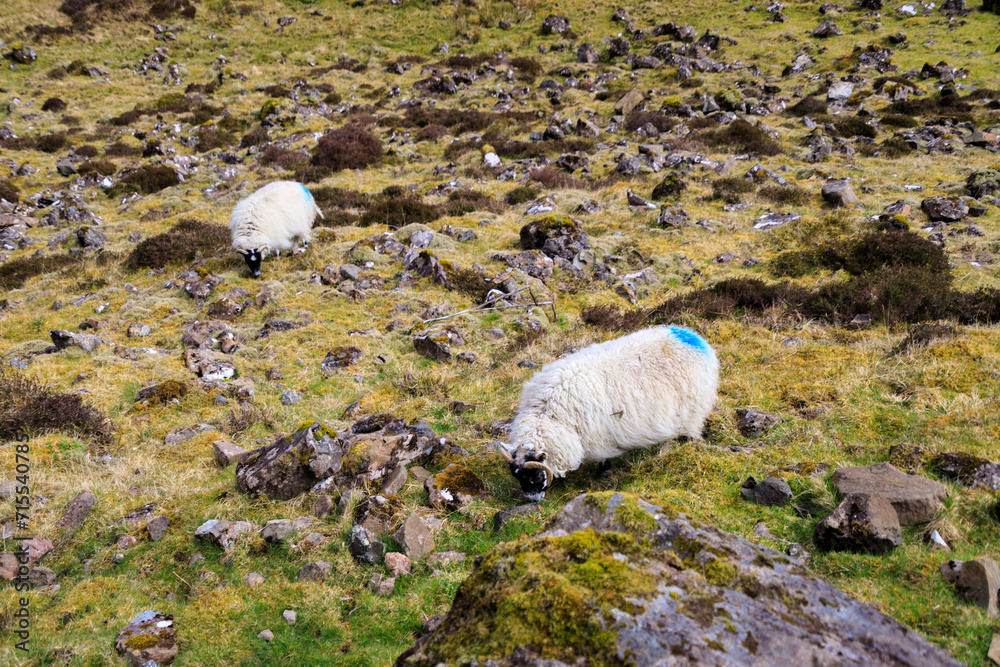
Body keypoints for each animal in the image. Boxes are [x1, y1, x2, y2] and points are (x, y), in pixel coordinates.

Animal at [500, 325, 719, 501]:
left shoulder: (599, 437)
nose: (531, 500)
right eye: (516, 476)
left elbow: (603, 459)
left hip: (693, 408)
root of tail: (693, 338)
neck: (549, 413)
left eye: (536, 475)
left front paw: (602, 473)